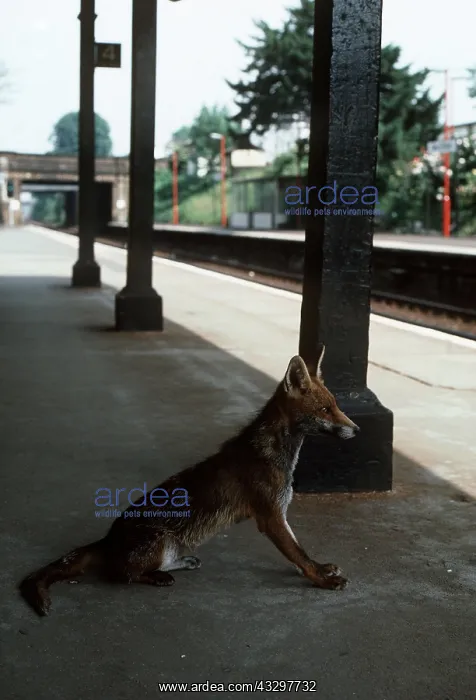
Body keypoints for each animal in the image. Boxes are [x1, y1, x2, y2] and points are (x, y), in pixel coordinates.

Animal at [19, 345, 360, 617]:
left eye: (337, 406)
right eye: (325, 409)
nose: (357, 430)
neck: (272, 455)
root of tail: (107, 539)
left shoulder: (279, 514)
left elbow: (302, 551)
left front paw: (322, 569)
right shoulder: (271, 516)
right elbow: (299, 555)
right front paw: (323, 579)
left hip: (171, 545)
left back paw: (181, 564)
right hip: (159, 541)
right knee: (122, 574)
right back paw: (156, 578)